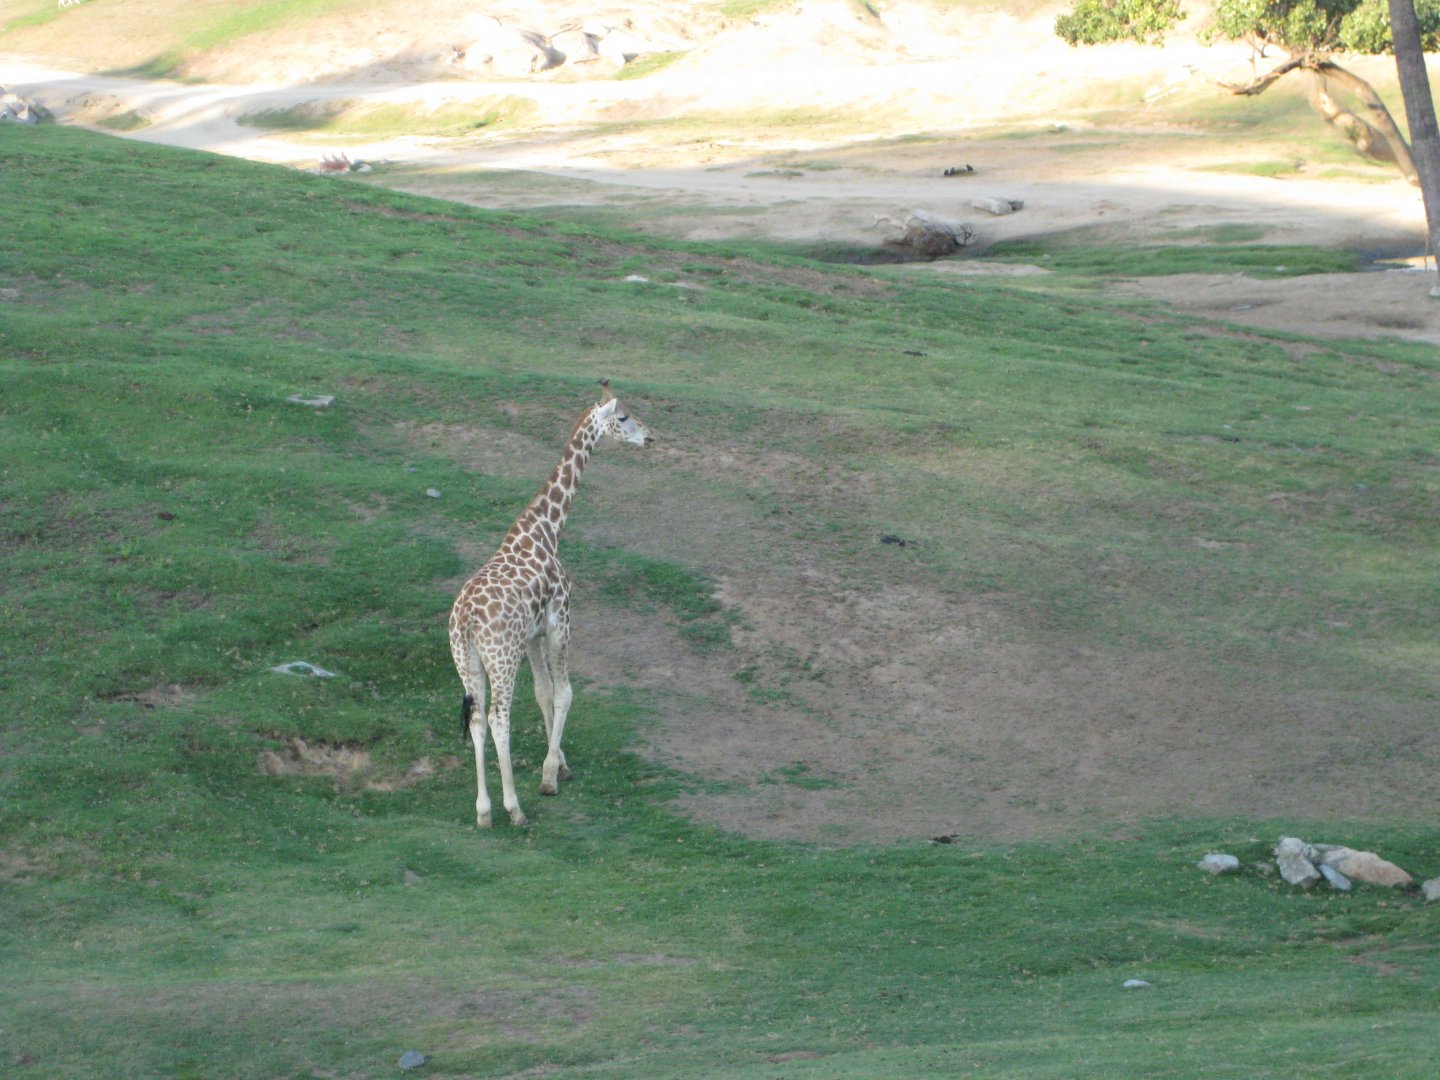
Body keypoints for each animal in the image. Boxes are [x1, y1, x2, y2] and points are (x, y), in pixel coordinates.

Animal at [448, 380, 654, 827]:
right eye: (624, 415)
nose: (651, 437)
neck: (545, 530)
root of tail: (467, 618)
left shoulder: (533, 634)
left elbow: (544, 692)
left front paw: (560, 762)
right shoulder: (562, 620)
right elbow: (564, 693)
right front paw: (548, 777)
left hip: (466, 661)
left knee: (477, 720)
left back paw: (483, 811)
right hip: (501, 658)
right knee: (499, 718)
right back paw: (514, 809)